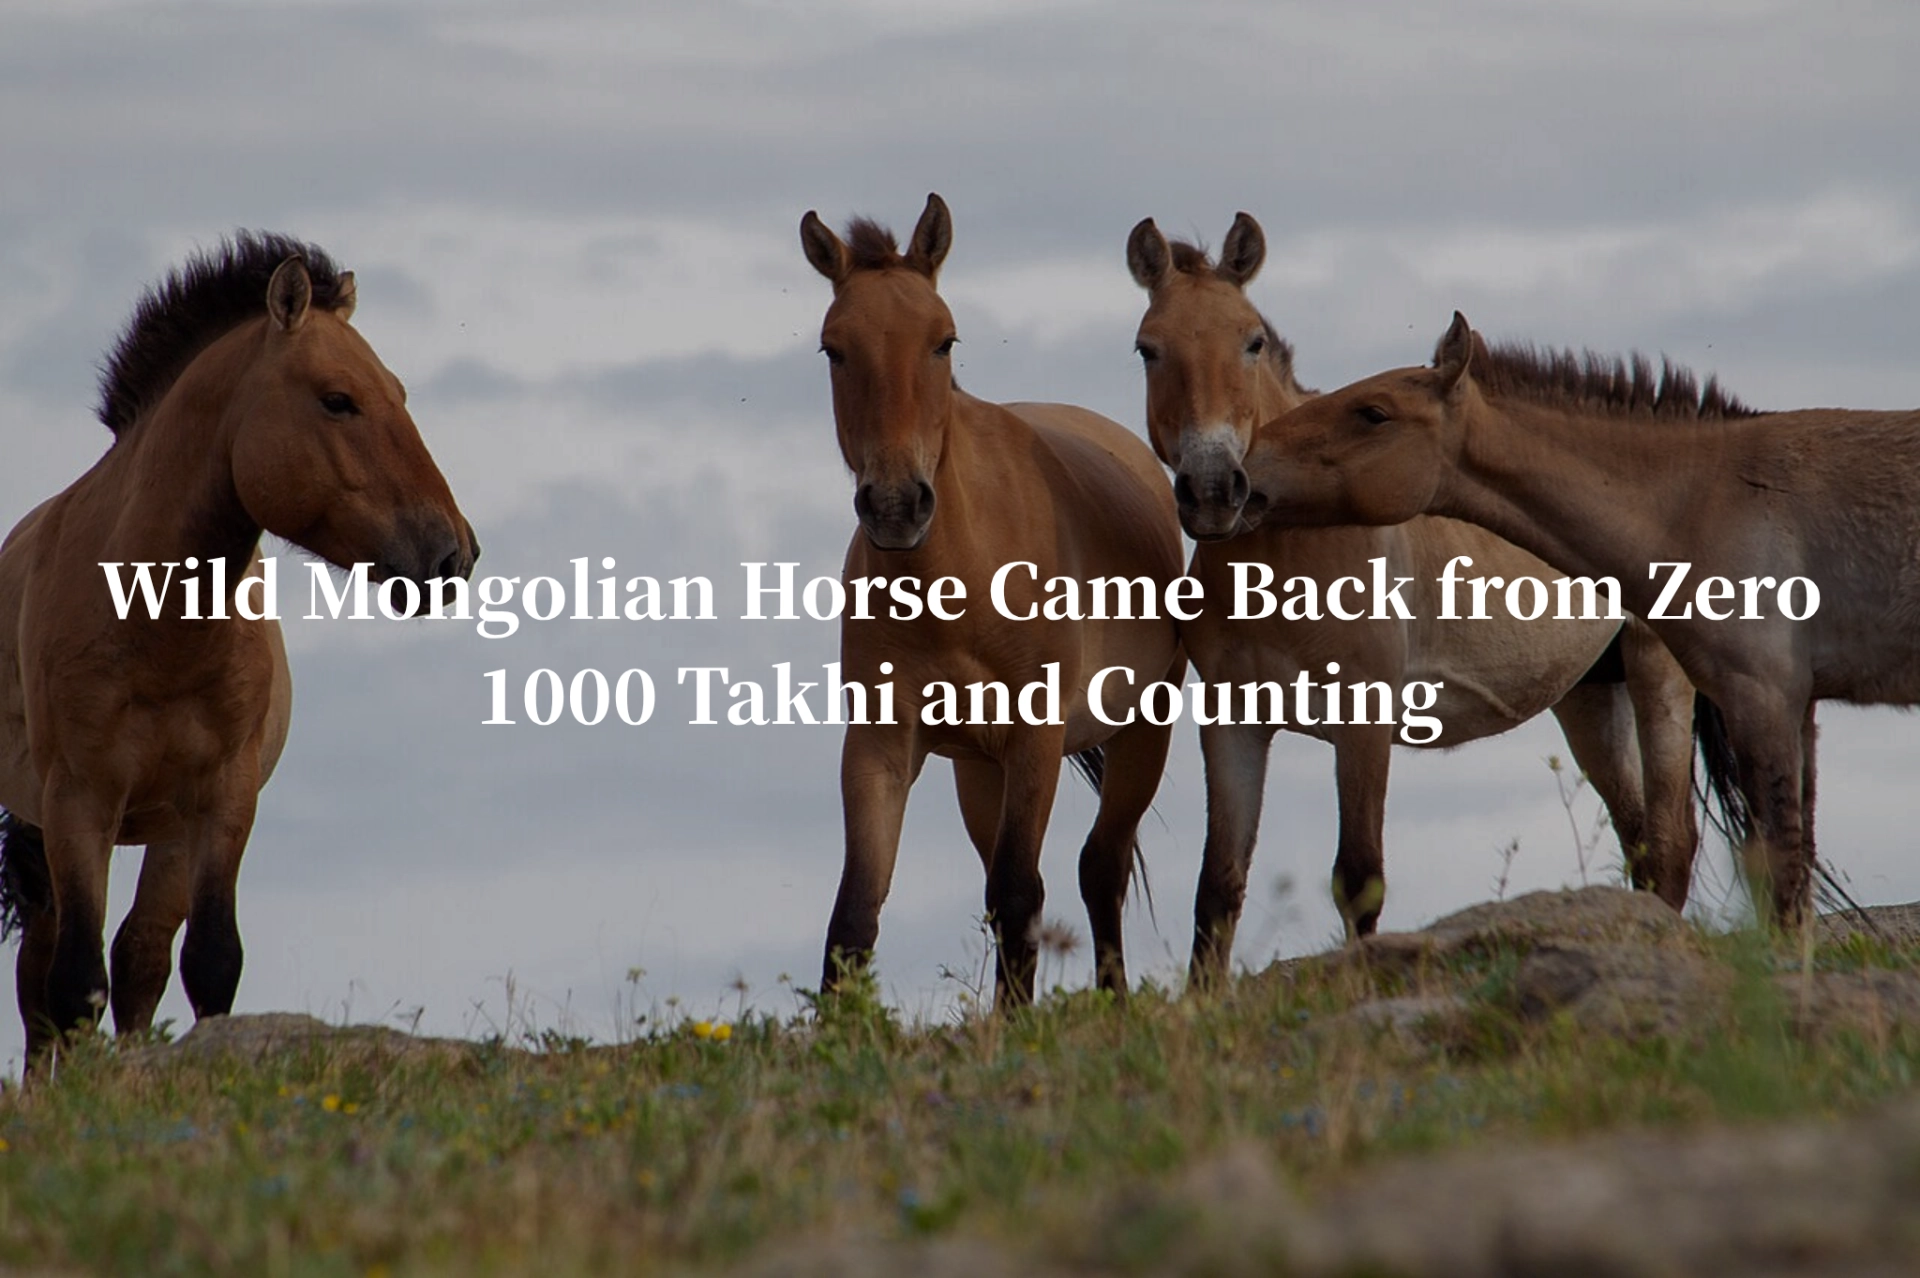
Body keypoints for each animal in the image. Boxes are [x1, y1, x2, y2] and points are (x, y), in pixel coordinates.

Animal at [0, 232, 478, 1060]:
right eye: (338, 399)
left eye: (399, 393)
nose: (454, 552)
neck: (155, 631)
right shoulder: (78, 802)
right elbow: (74, 985)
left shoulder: (221, 798)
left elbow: (206, 962)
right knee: (45, 979)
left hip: (164, 834)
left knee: (138, 954)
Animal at [800, 194, 1187, 1007]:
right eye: (833, 349)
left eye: (942, 341)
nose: (895, 505)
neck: (957, 583)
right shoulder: (880, 748)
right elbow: (855, 914)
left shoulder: (1035, 739)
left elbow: (1018, 892)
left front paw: (1018, 1021)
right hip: (978, 771)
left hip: (1144, 732)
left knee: (1100, 866)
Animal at [1127, 215, 1699, 982]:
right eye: (1148, 348)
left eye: (1251, 341)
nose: (1216, 489)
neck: (1290, 550)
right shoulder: (1234, 723)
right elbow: (1218, 887)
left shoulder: (1364, 722)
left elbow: (1358, 878)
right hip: (1589, 694)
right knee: (1640, 842)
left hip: (1658, 673)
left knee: (1669, 846)